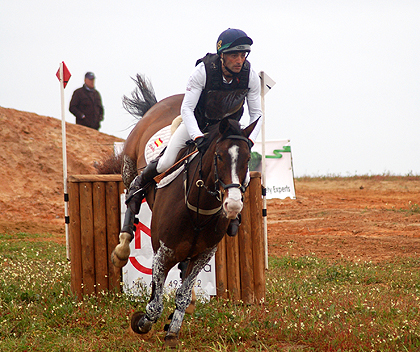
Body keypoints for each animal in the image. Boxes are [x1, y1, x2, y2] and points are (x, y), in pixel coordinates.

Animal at [110, 75, 256, 348]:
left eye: (247, 158)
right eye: (219, 156)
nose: (232, 205)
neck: (199, 208)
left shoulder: (203, 254)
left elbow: (183, 294)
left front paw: (173, 329)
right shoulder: (163, 254)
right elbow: (155, 304)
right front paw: (142, 322)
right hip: (129, 167)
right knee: (134, 194)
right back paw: (122, 248)